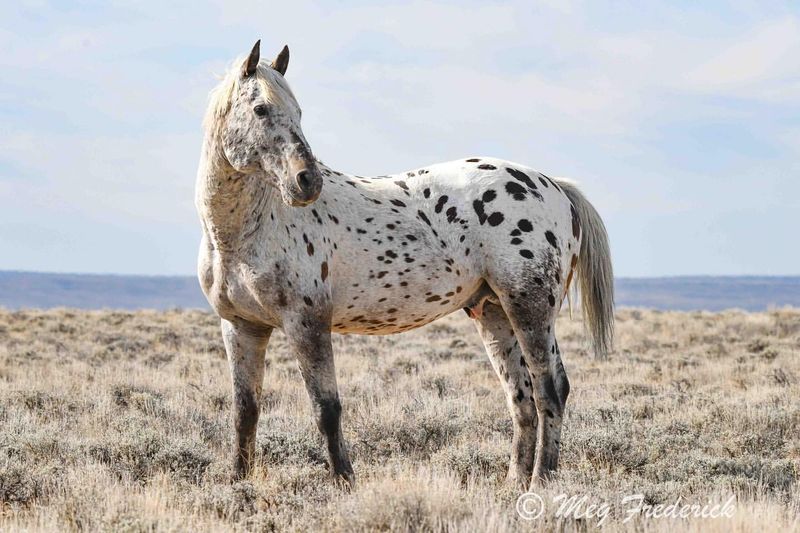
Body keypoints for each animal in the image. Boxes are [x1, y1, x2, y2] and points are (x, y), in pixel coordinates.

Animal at [197, 41, 616, 490]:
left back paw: (541, 482)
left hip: (530, 307)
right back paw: (514, 483)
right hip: (494, 311)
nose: (307, 181)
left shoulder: (306, 323)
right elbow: (245, 411)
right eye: (260, 109)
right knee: (520, 398)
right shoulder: (242, 327)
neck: (250, 227)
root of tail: (553, 186)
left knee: (549, 390)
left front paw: (344, 482)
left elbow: (326, 409)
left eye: (298, 111)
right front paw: (238, 481)